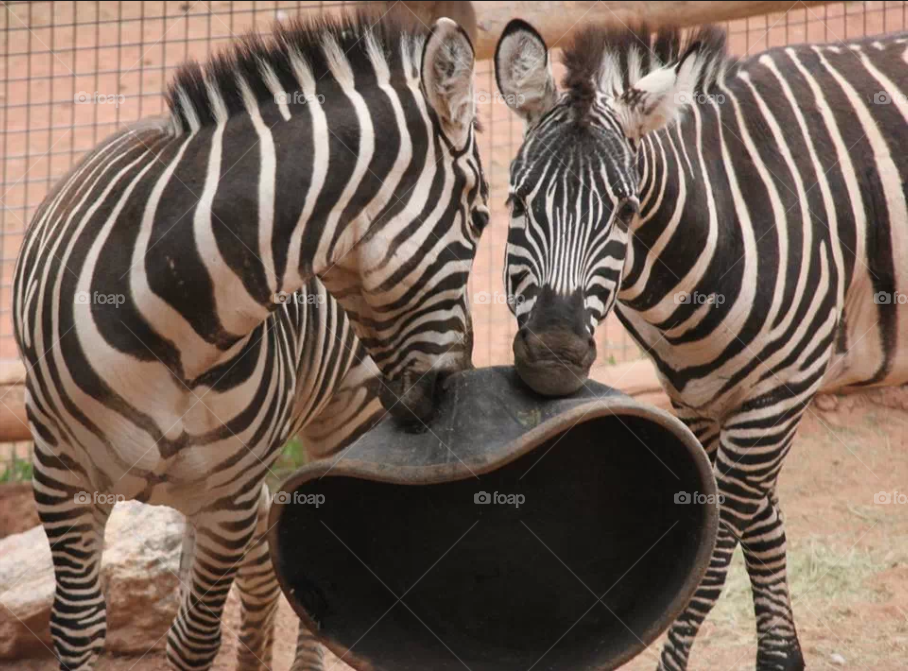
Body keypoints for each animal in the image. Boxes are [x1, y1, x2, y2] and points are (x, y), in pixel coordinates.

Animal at [13, 10, 488, 671]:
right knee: (265, 567)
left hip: (343, 413)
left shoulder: (228, 499)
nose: (451, 388)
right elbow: (79, 627)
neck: (182, 320)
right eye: (482, 220)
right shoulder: (63, 475)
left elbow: (193, 640)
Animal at [493, 19, 908, 671]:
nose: (555, 357)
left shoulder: (780, 393)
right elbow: (761, 532)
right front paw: (782, 658)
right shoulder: (703, 399)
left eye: (626, 210)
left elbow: (709, 566)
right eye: (517, 200)